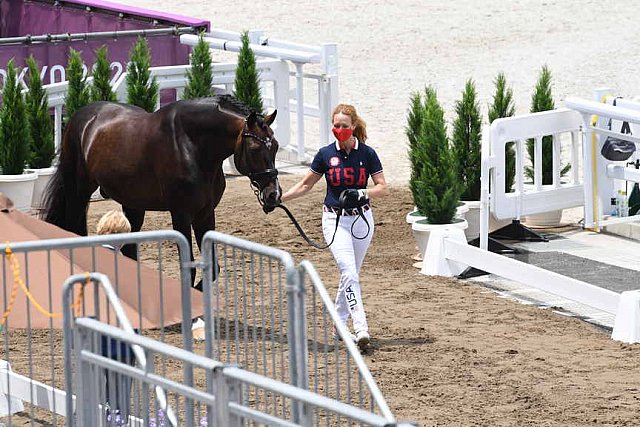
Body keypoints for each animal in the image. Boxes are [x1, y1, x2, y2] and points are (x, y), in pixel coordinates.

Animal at [40, 95, 280, 286]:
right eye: (254, 148)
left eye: (275, 146)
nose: (273, 195)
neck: (192, 146)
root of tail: (80, 117)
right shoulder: (181, 214)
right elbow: (189, 268)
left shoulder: (205, 213)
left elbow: (212, 267)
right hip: (78, 193)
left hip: (133, 205)